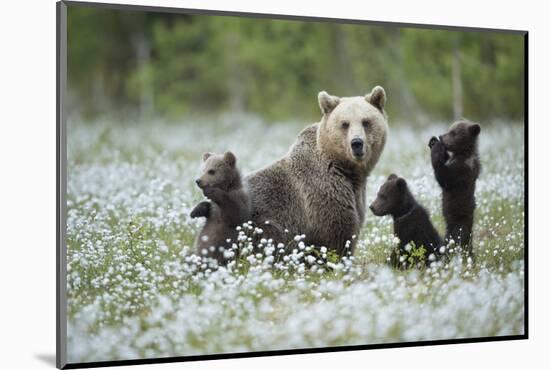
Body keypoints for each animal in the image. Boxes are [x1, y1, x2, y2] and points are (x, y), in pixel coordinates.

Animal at [248, 86, 390, 258]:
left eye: (366, 121)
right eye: (345, 124)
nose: (356, 143)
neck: (347, 170)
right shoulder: (323, 194)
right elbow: (336, 235)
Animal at [432, 120, 484, 256]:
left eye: (453, 133)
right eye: (450, 129)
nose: (441, 136)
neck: (463, 153)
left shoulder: (461, 171)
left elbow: (444, 179)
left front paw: (436, 149)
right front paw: (433, 142)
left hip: (459, 222)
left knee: (458, 240)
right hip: (449, 229)